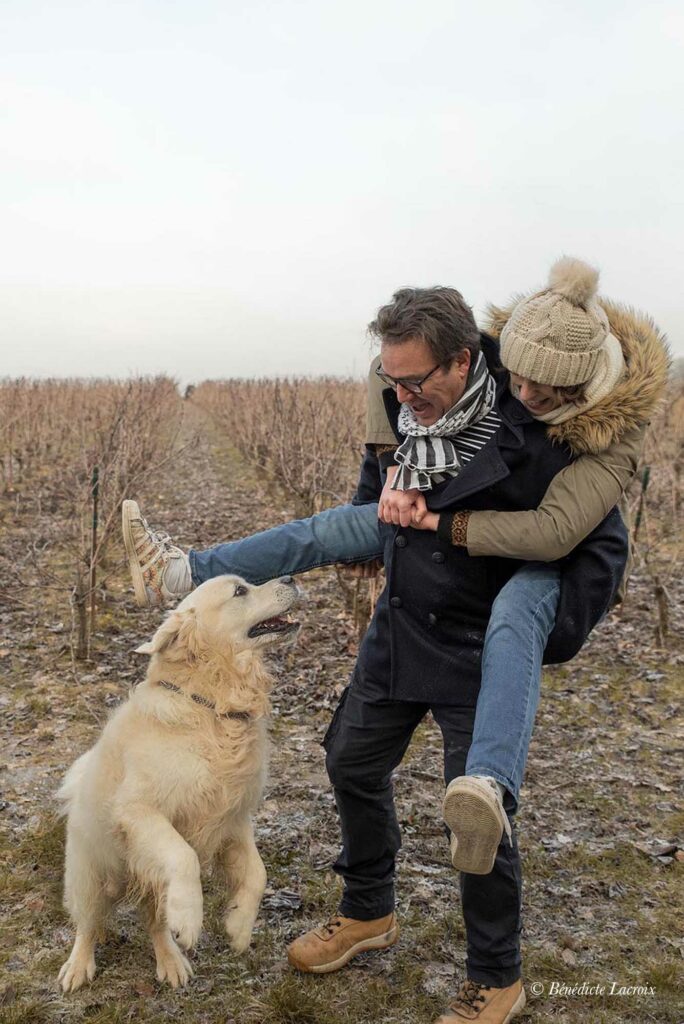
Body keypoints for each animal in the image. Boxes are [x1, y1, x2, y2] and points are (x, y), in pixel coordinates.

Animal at [59, 573, 301, 987]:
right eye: (240, 591)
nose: (290, 577)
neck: (210, 708)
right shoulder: (139, 811)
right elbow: (183, 855)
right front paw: (189, 918)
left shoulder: (233, 818)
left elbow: (258, 873)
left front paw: (238, 925)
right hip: (90, 871)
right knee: (87, 923)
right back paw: (79, 965)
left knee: (154, 922)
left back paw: (171, 961)